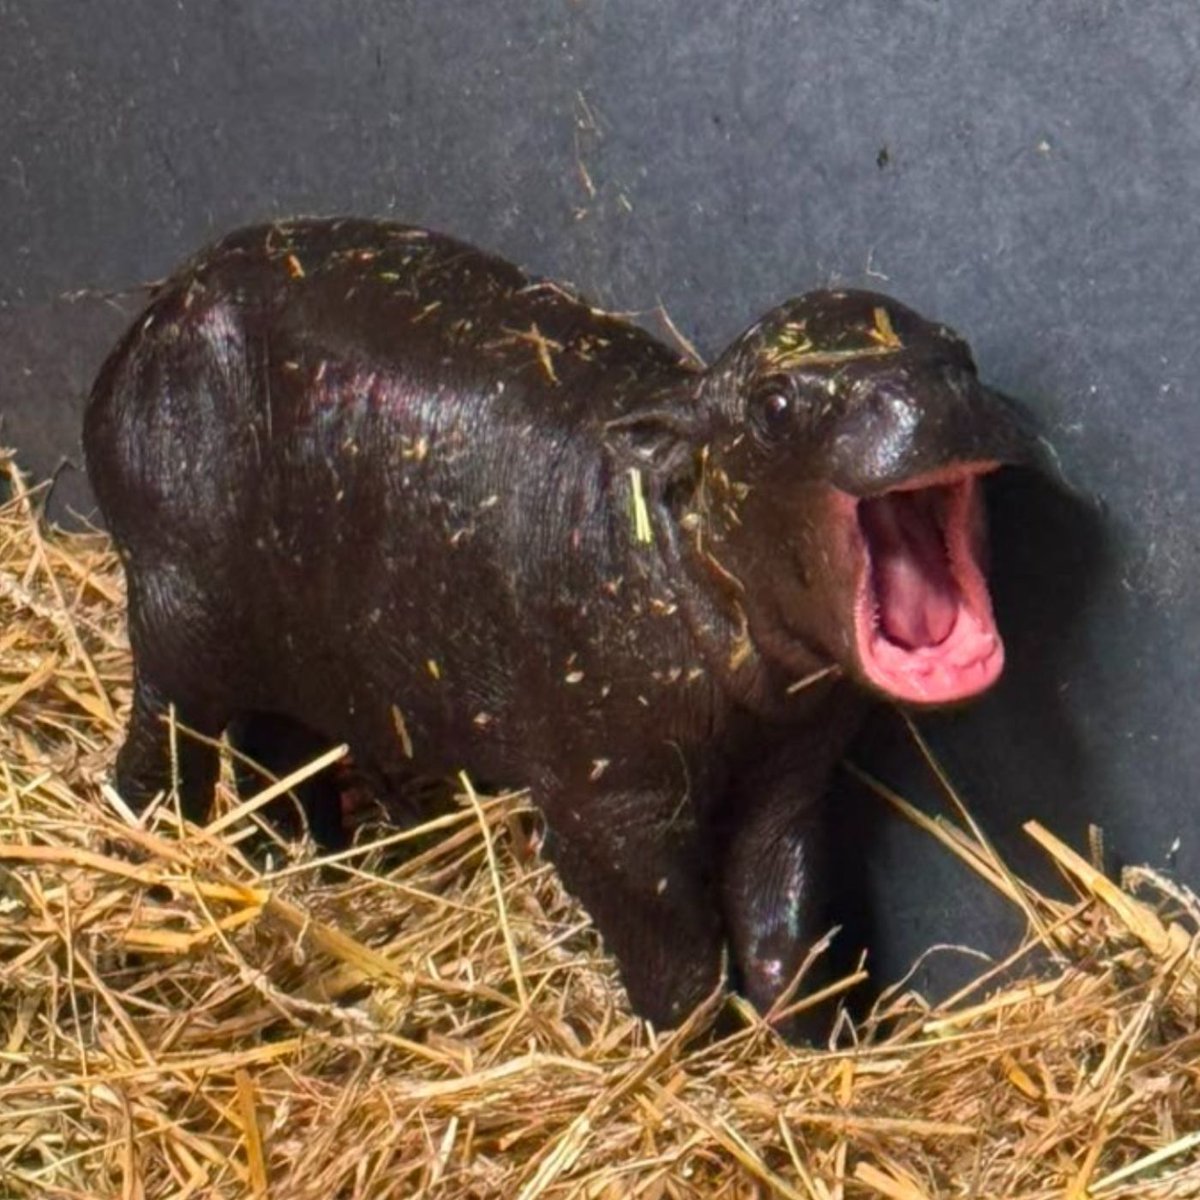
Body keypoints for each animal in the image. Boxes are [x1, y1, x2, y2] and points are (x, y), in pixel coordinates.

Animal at [83, 218, 1030, 1031]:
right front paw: (693, 1055)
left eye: (959, 352)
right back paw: (157, 851)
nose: (928, 396)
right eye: (774, 406)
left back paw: (312, 862)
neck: (674, 530)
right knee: (162, 738)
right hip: (181, 608)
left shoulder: (792, 768)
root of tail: (148, 315)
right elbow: (674, 941)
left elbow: (785, 917)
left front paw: (808, 1045)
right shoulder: (605, 800)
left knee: (276, 750)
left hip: (299, 649)